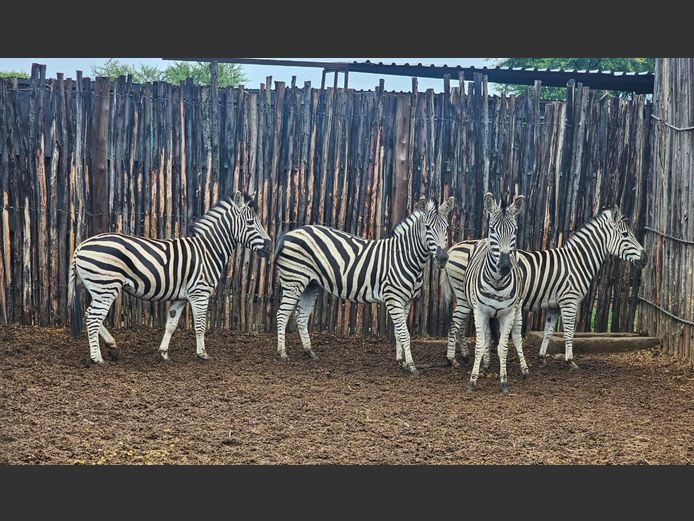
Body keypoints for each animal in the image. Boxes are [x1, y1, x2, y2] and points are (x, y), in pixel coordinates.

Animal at [68, 191, 272, 364]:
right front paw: (202, 354)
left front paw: (164, 353)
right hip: (106, 286)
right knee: (93, 318)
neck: (208, 250)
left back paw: (112, 346)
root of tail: (80, 246)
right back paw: (97, 358)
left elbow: (171, 325)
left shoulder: (180, 298)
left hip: (99, 288)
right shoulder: (200, 293)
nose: (270, 247)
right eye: (251, 223)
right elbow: (200, 325)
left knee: (89, 314)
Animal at [274, 196, 455, 375]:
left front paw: (401, 361)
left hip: (311, 285)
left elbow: (399, 332)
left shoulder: (407, 301)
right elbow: (404, 333)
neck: (405, 257)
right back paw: (282, 353)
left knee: (301, 316)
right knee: (282, 314)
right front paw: (411, 365)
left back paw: (309, 352)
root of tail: (291, 233)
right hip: (294, 281)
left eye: (447, 227)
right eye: (427, 227)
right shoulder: (394, 298)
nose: (442, 258)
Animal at [441, 204, 648, 370]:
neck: (577, 261)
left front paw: (541, 358)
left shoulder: (553, 305)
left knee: (460, 325)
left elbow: (548, 332)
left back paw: (465, 356)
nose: (645, 258)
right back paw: (452, 359)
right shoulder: (569, 300)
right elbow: (569, 331)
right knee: (454, 323)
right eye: (625, 235)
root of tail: (454, 247)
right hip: (465, 297)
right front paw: (570, 361)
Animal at [461, 193, 528, 394]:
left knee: (517, 338)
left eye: (515, 230)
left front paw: (504, 382)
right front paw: (472, 381)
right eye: (492, 229)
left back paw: (524, 370)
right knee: (486, 337)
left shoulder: (508, 313)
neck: (498, 282)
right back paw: (485, 364)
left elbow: (504, 347)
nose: (505, 266)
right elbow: (479, 345)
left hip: (518, 310)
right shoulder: (480, 311)